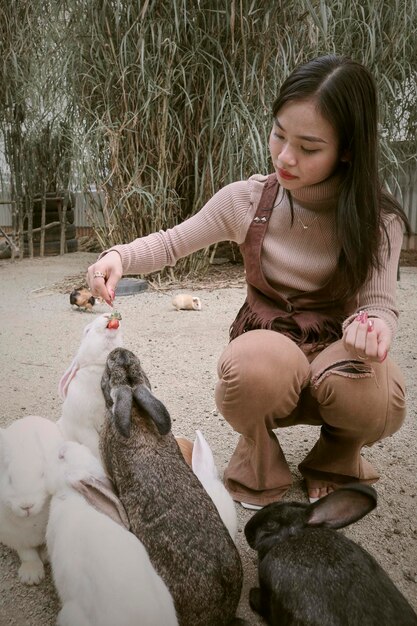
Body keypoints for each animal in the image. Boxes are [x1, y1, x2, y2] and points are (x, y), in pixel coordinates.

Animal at [0, 412, 63, 584]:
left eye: (42, 474)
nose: (26, 506)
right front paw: (31, 576)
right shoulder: (17, 538)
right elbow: (27, 554)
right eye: (10, 479)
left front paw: (45, 557)